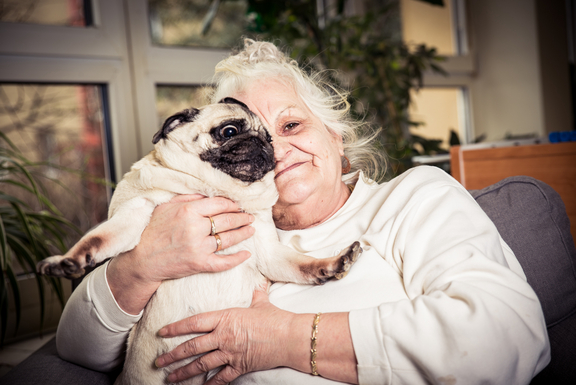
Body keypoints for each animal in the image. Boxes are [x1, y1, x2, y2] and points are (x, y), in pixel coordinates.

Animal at [36, 97, 362, 382]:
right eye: (229, 131)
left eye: (270, 138)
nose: (263, 143)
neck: (217, 190)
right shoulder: (134, 212)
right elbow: (100, 238)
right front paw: (68, 260)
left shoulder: (268, 252)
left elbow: (303, 265)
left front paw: (333, 264)